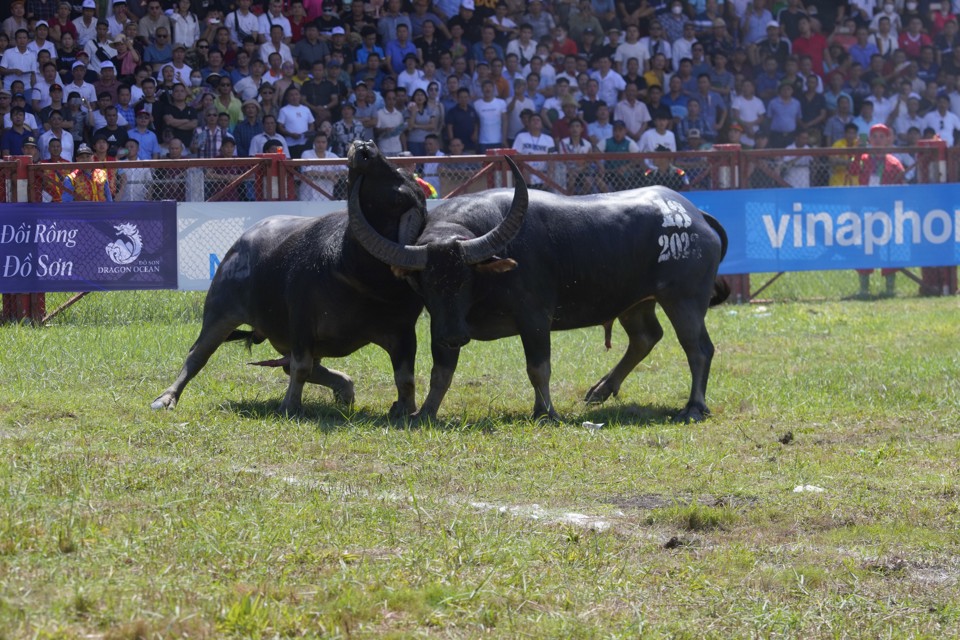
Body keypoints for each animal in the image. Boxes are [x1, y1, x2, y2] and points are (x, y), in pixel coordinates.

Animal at [152, 141, 426, 416]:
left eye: (399, 195)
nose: (365, 147)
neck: (358, 274)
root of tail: (240, 242)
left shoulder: (404, 332)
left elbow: (405, 378)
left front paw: (406, 410)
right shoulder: (301, 322)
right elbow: (300, 367)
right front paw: (289, 406)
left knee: (297, 366)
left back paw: (345, 389)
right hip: (219, 313)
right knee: (197, 355)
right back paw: (166, 398)